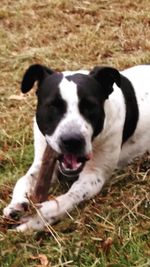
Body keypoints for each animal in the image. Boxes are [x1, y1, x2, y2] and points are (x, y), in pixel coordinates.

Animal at [3, 63, 150, 231]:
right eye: (52, 106)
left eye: (90, 106)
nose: (72, 140)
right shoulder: (42, 161)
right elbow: (24, 179)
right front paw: (16, 204)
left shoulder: (94, 175)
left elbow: (69, 198)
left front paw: (37, 219)